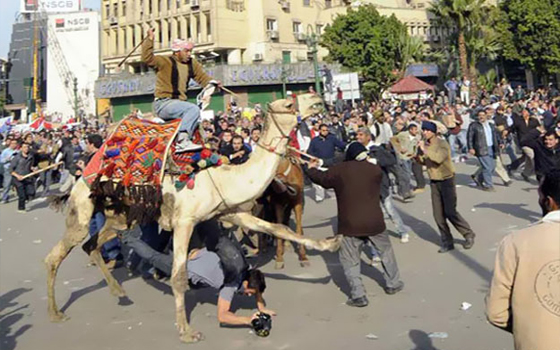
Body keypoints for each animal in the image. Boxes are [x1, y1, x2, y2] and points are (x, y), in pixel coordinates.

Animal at [43, 97, 340, 344]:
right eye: (288, 104)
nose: (317, 98)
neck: (223, 178)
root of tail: (83, 173)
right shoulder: (184, 221)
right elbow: (179, 276)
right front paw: (186, 332)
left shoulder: (229, 212)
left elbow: (277, 227)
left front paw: (331, 243)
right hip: (82, 208)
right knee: (56, 255)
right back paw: (56, 313)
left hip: (120, 216)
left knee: (92, 244)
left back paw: (119, 293)